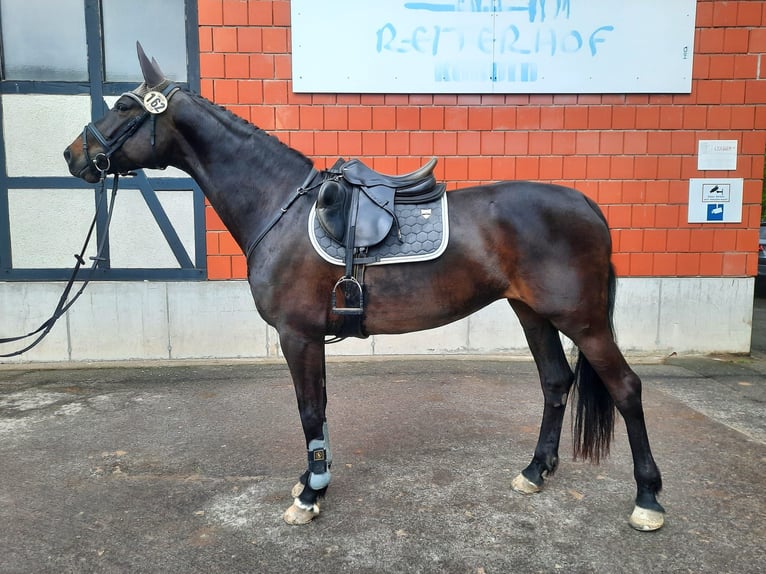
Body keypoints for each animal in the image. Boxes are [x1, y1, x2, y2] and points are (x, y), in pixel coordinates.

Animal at [63, 44, 664, 531]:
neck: (280, 205)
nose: (73, 156)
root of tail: (586, 204)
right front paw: (313, 479)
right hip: (532, 312)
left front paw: (310, 496)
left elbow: (310, 410)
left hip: (582, 320)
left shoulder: (298, 335)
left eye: (125, 106)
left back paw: (648, 499)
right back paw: (535, 471)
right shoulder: (309, 338)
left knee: (626, 389)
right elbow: (319, 408)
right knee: (556, 382)